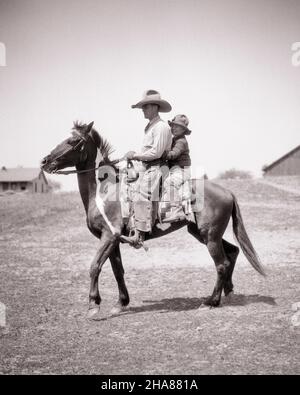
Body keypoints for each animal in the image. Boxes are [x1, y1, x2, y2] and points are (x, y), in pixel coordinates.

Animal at [40, 122, 264, 320]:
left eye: (72, 140)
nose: (44, 161)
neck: (104, 192)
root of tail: (227, 192)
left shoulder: (108, 236)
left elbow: (95, 266)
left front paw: (93, 305)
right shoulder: (114, 241)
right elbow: (118, 270)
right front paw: (121, 303)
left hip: (210, 236)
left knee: (221, 264)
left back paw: (210, 302)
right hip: (202, 233)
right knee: (232, 252)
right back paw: (228, 292)